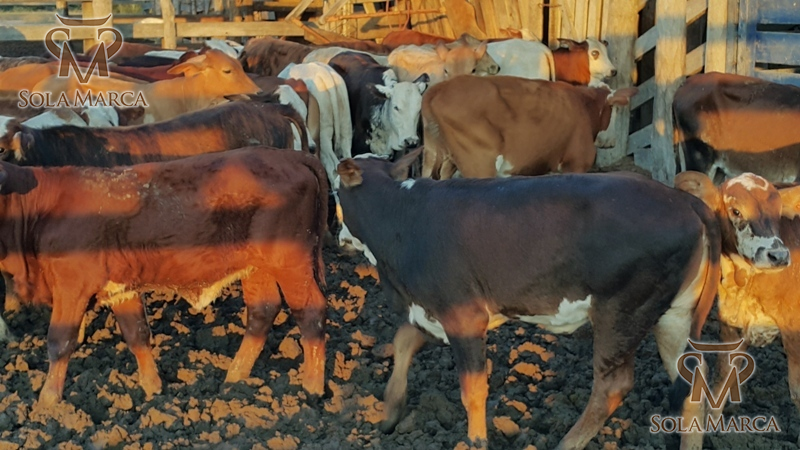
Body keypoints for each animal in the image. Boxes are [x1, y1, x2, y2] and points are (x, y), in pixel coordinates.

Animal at [0, 147, 328, 407]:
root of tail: (289, 155)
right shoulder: (121, 288)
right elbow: (136, 334)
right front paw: (152, 387)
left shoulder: (72, 287)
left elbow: (60, 341)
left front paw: (48, 400)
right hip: (256, 268)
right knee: (263, 311)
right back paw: (234, 378)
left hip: (291, 264)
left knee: (311, 314)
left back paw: (311, 387)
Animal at [334, 148, 723, 449]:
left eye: (337, 195)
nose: (338, 237)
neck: (403, 216)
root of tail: (685, 201)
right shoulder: (432, 310)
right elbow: (403, 341)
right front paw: (390, 410)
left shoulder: (463, 314)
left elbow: (472, 389)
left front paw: (476, 440)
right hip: (673, 314)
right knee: (692, 379)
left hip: (622, 310)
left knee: (612, 386)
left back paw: (567, 442)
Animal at [420, 76, 637, 179]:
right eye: (615, 110)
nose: (611, 142)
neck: (583, 104)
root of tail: (440, 87)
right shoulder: (576, 164)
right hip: (480, 164)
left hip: (435, 157)